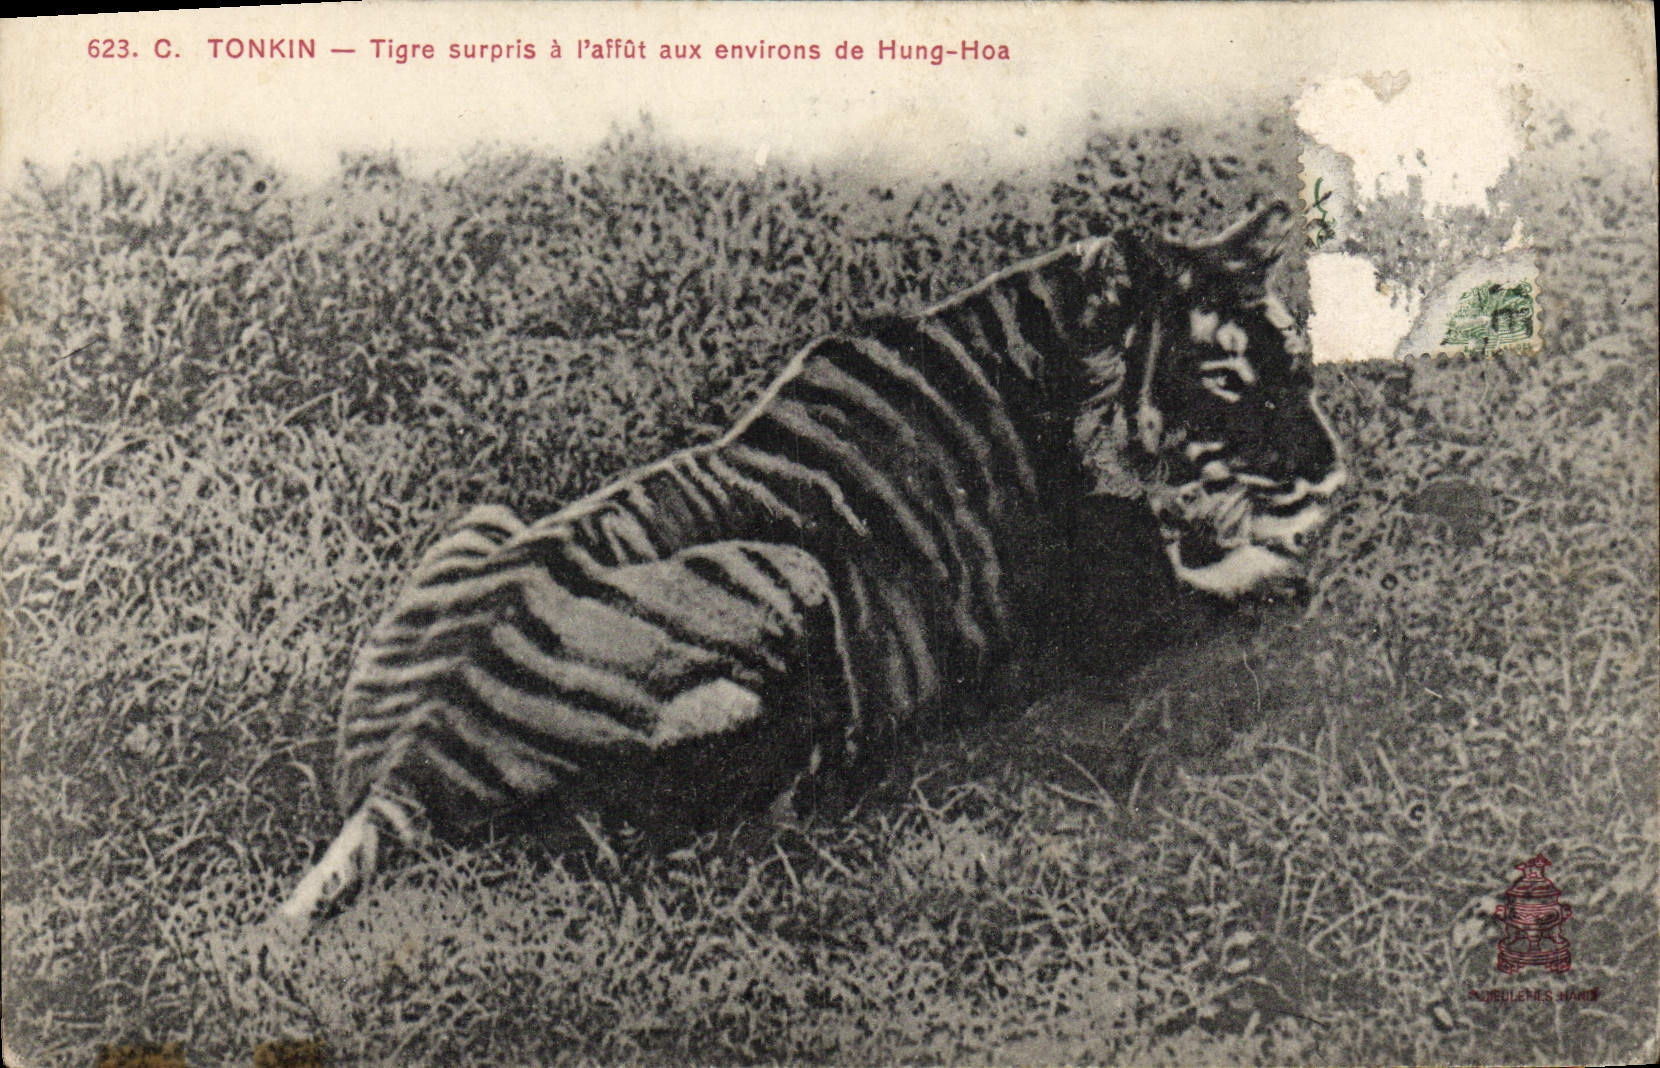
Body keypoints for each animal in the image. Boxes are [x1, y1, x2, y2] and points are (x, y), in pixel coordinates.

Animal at [278, 199, 1345, 922]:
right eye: (1224, 377)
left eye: (1294, 359)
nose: (1332, 470)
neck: (1048, 366)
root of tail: (405, 771)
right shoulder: (1118, 605)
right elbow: (1260, 567)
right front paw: (1290, 547)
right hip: (789, 574)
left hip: (488, 511)